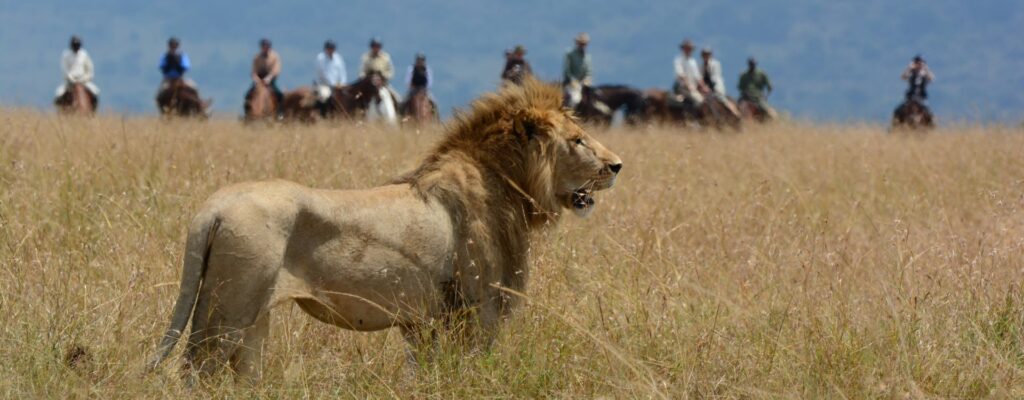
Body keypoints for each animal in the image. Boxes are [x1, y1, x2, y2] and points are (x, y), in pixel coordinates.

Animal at [147, 77, 618, 378]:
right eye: (577, 140)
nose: (617, 165)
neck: (506, 185)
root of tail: (212, 208)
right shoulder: (478, 308)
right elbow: (470, 370)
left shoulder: (424, 320)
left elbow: (425, 373)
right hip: (228, 312)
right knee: (197, 371)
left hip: (247, 320)